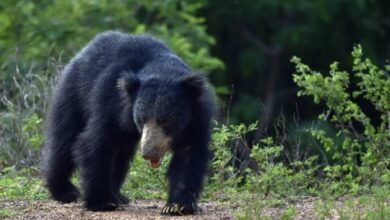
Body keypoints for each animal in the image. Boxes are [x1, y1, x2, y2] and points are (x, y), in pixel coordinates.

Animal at [43, 31, 215, 215]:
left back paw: (119, 195)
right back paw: (65, 191)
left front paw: (177, 206)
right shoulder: (111, 102)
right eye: (141, 120)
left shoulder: (196, 118)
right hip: (74, 95)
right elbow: (96, 143)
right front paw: (102, 202)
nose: (148, 152)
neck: (162, 68)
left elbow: (189, 155)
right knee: (65, 141)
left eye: (167, 121)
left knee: (120, 155)